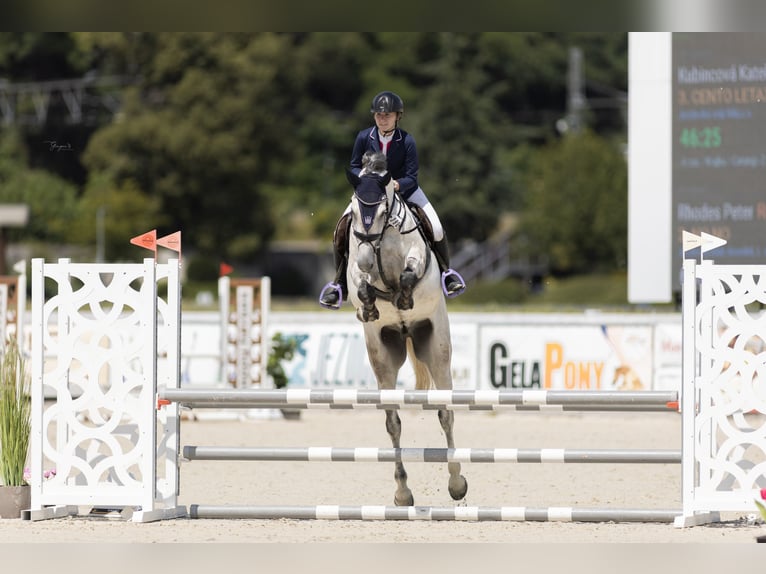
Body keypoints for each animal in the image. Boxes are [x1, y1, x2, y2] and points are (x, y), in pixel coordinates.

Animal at [320, 153, 464, 508]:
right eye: (355, 209)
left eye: (384, 211)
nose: (367, 260)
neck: (381, 242)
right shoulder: (356, 266)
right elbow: (362, 285)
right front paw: (370, 306)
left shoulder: (414, 254)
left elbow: (410, 273)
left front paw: (404, 295)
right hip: (384, 356)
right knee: (393, 423)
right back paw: (403, 492)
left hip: (436, 349)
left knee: (446, 414)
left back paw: (457, 483)